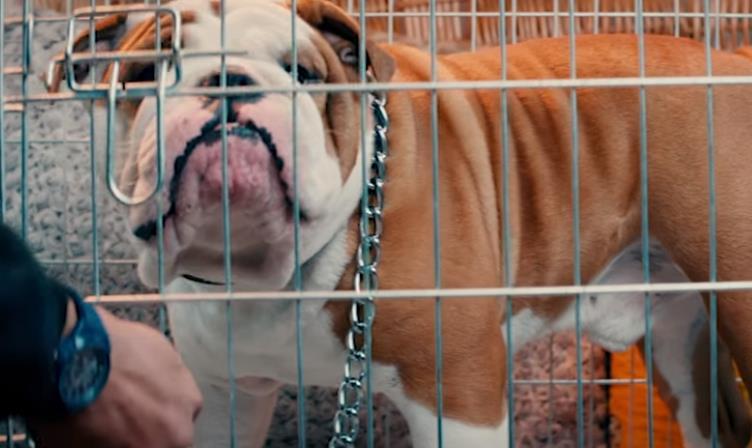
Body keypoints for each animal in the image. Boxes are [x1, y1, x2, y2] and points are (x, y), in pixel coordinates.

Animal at [45, 0, 752, 446]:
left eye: (303, 72)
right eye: (143, 73)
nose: (228, 81)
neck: (266, 274)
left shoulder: (457, 393)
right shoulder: (223, 398)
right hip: (684, 348)